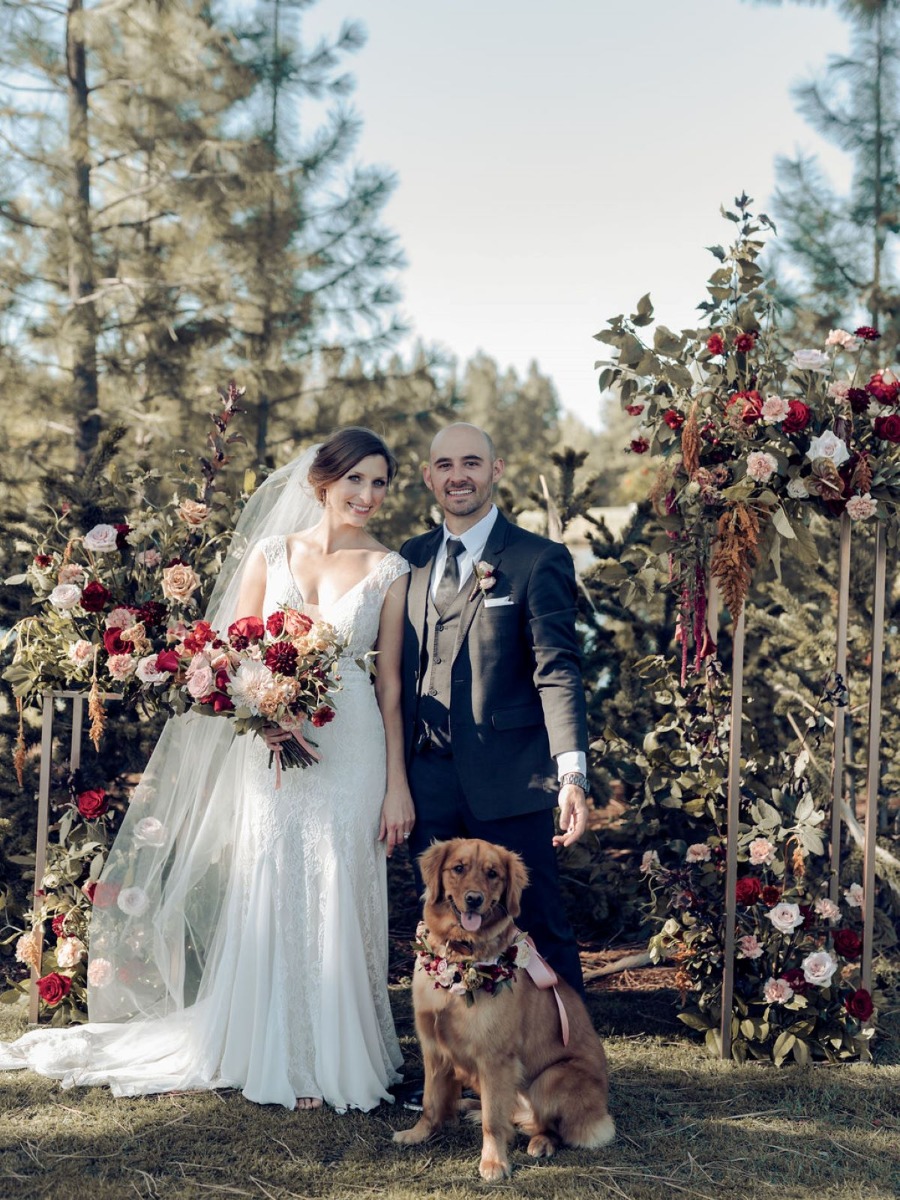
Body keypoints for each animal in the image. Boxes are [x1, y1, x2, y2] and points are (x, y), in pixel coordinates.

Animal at [393, 840, 614, 1185]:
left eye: (493, 874)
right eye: (458, 868)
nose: (474, 899)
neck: (460, 956)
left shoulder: (495, 1057)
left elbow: (494, 1122)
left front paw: (493, 1162)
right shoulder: (433, 1047)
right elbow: (430, 1102)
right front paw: (418, 1134)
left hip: (552, 1078)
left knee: (550, 1127)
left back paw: (540, 1142)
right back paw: (471, 1106)